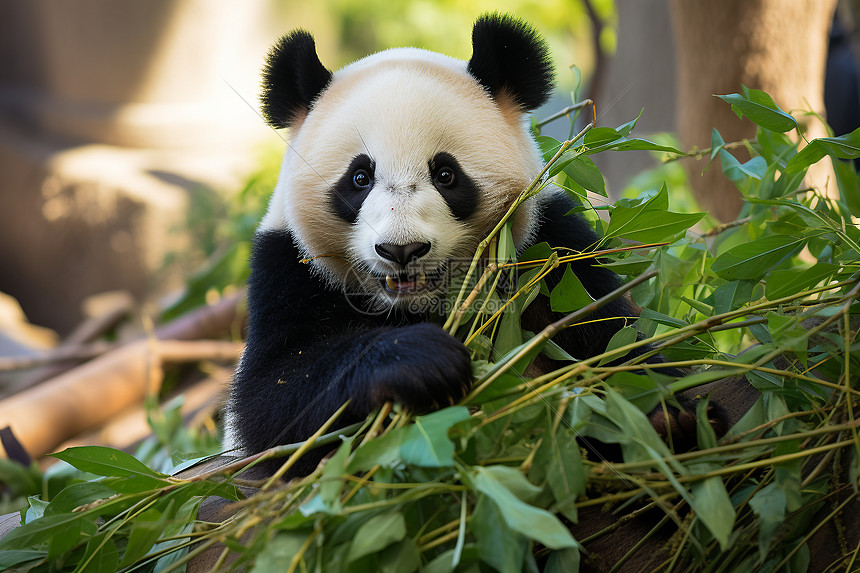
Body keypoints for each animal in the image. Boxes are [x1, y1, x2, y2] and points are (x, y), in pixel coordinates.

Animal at [225, 13, 688, 472]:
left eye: (446, 174)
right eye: (359, 177)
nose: (402, 250)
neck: (418, 307)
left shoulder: (551, 251)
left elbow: (612, 338)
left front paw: (658, 417)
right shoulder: (287, 266)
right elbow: (271, 400)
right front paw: (420, 361)